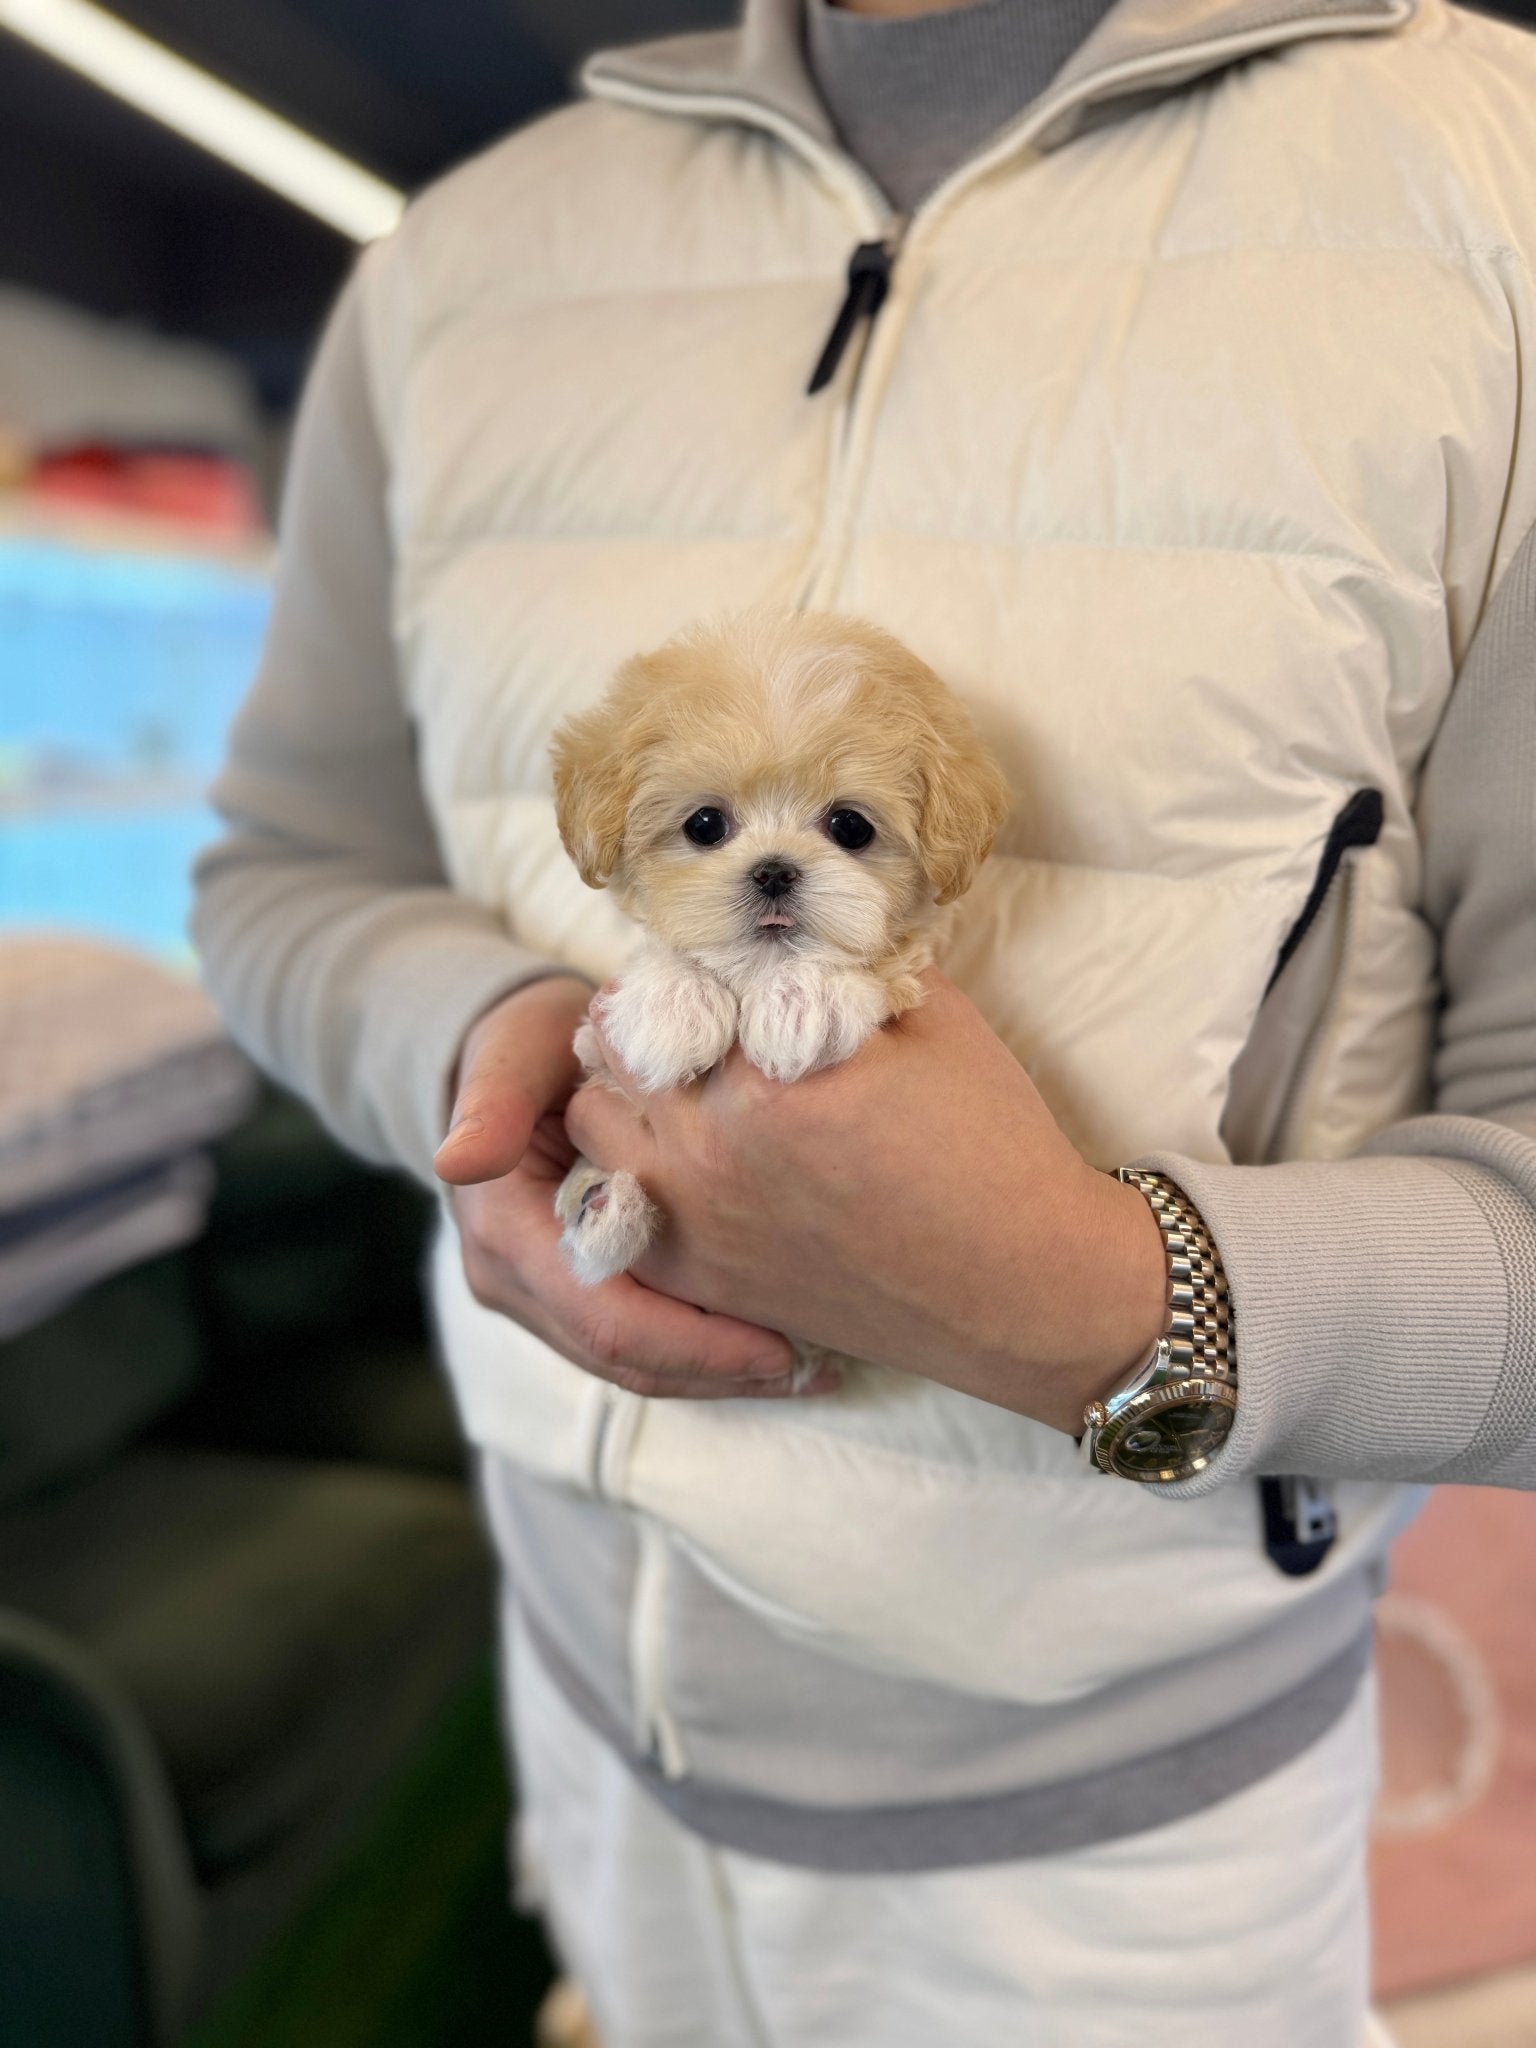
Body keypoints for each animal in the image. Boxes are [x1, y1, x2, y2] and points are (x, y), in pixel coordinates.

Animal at [548, 598, 1011, 1286]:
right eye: (704, 824)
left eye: (851, 826)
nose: (773, 870)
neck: (754, 970)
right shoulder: (595, 1056)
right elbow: (662, 962)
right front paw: (671, 1006)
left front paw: (803, 999)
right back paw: (603, 1207)